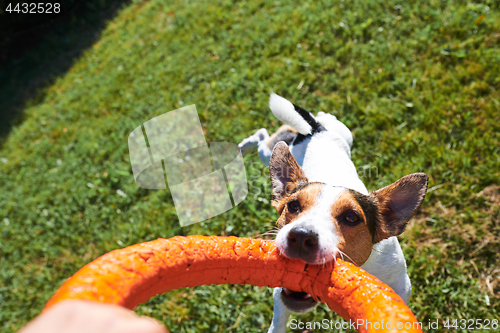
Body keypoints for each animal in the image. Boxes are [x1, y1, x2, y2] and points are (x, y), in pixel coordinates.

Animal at [238, 93, 430, 332]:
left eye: (351, 217)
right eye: (293, 206)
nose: (300, 236)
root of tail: (315, 131)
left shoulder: (400, 283)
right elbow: (279, 318)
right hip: (270, 152)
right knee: (263, 137)